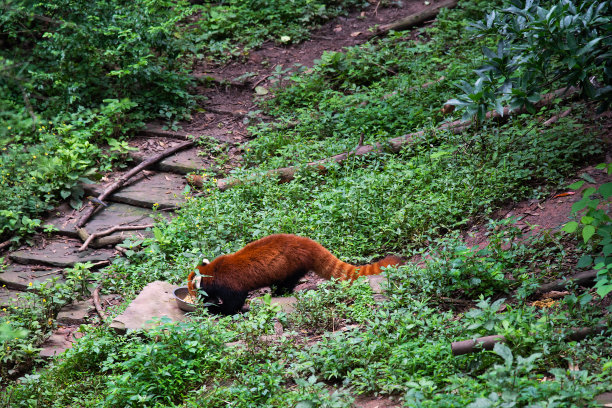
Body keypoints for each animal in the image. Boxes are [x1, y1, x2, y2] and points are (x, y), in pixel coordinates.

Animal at [186, 233, 406, 316]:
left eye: (192, 290)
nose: (194, 300)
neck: (212, 272)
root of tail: (305, 242)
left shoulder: (230, 284)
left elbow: (235, 302)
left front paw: (216, 309)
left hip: (291, 266)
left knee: (287, 283)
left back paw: (279, 293)